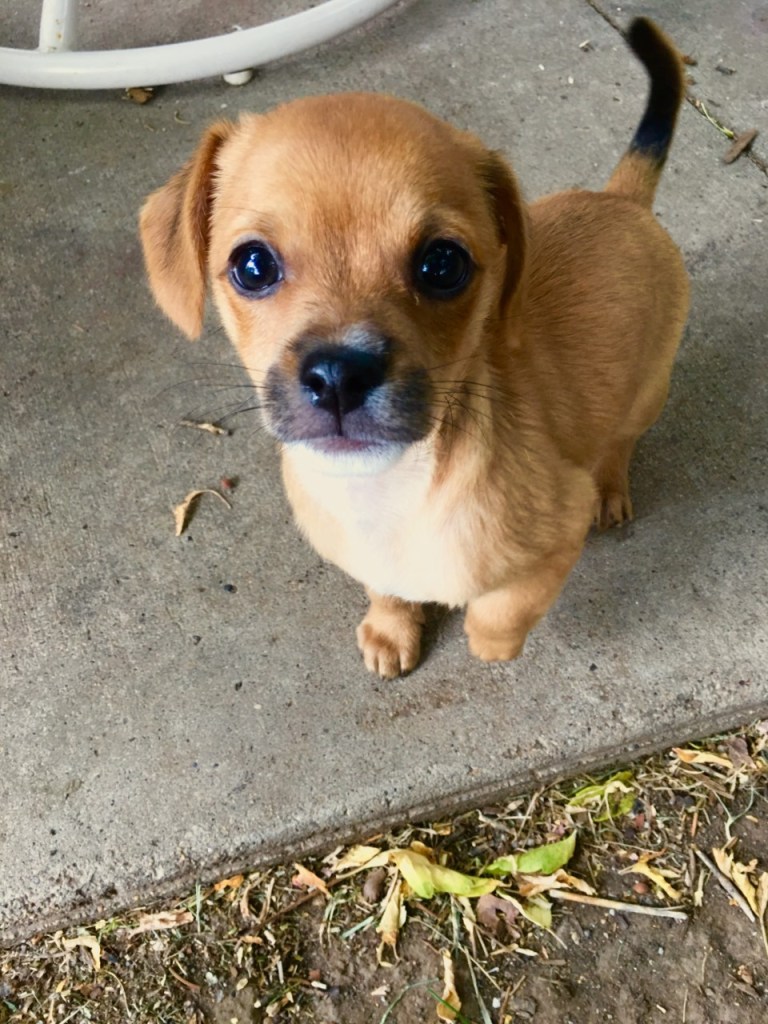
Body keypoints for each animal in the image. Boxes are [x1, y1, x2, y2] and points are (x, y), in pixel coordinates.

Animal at [140, 18, 689, 679]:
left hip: (650, 392)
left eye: (443, 265)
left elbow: (502, 609)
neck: (388, 492)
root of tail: (623, 200)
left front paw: (490, 644)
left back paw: (611, 486)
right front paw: (391, 627)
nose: (339, 375)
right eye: (252, 266)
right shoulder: (371, 559)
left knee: (621, 440)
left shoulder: (558, 536)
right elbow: (386, 587)